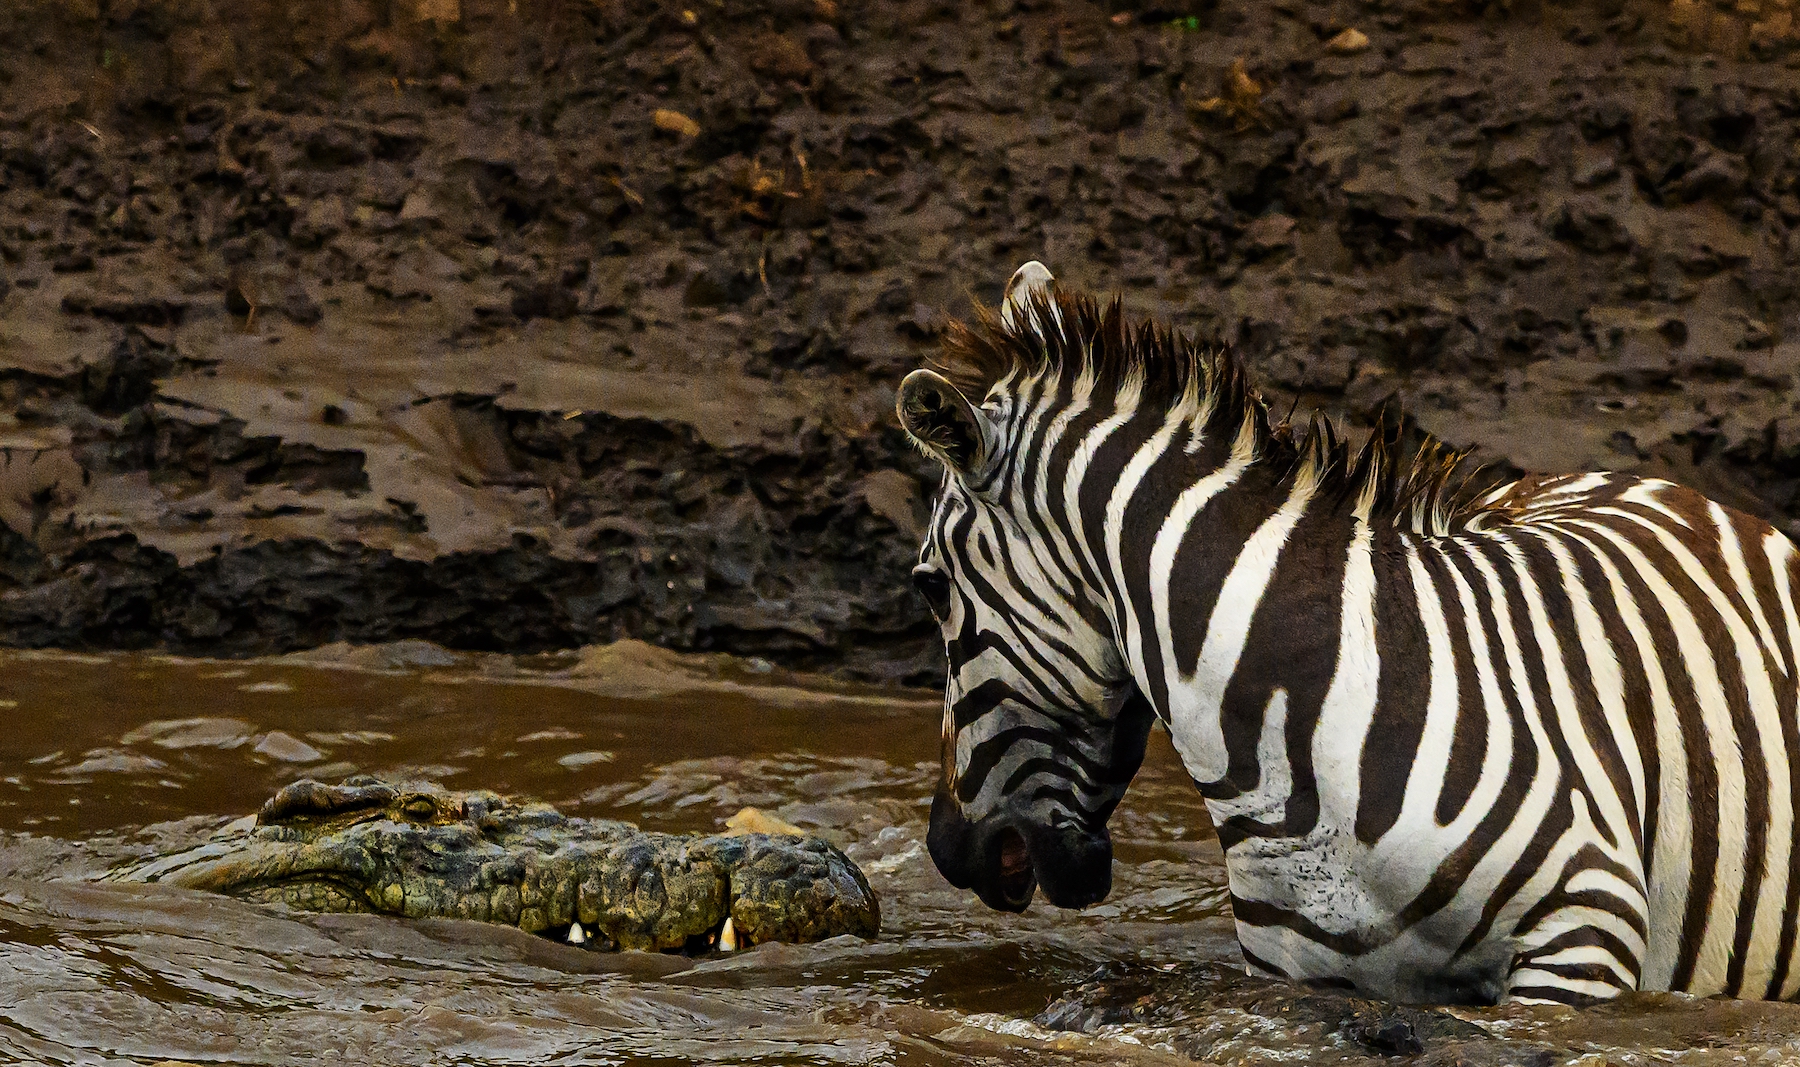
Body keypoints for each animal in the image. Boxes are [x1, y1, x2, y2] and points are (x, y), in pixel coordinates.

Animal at [897, 261, 1800, 1006]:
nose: (946, 850)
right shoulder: (1301, 975)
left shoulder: (1583, 936)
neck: (1287, 777)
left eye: (931, 588)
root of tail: (1647, 479)